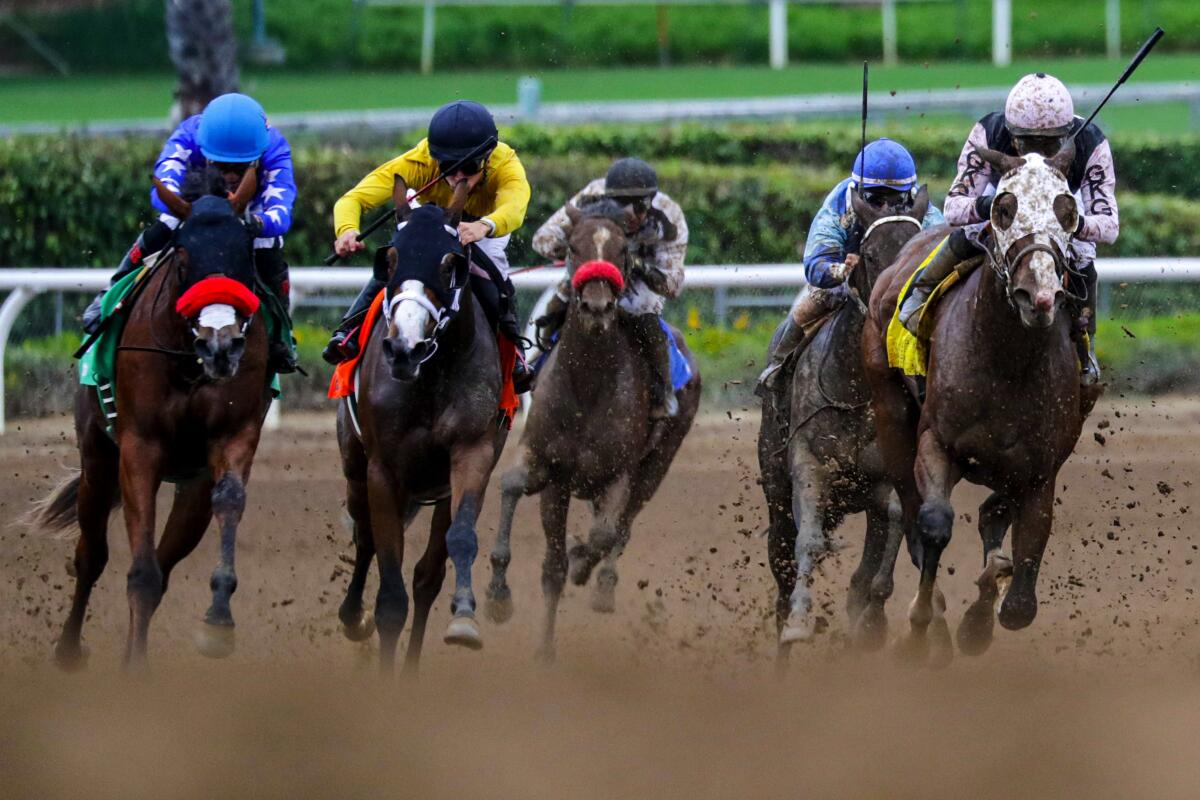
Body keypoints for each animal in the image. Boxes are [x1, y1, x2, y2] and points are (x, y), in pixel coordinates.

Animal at [27, 164, 272, 671]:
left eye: (244, 256)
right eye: (183, 260)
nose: (221, 347)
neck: (189, 362)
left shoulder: (231, 437)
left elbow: (229, 499)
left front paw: (217, 620)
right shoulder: (139, 447)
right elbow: (137, 570)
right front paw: (135, 670)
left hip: (190, 485)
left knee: (167, 558)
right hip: (98, 460)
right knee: (91, 555)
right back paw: (68, 649)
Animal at [336, 185, 513, 671]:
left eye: (451, 263)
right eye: (390, 259)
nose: (404, 348)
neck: (429, 377)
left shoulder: (471, 454)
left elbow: (453, 546)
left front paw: (464, 619)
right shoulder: (383, 469)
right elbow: (389, 593)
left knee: (425, 574)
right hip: (355, 467)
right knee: (364, 537)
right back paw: (352, 616)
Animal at [868, 145, 1099, 662]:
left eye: (1068, 210)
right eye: (1003, 207)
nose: (1039, 296)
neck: (1006, 360)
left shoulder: (1038, 471)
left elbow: (1018, 603)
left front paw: (979, 617)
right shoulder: (936, 441)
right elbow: (934, 523)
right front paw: (921, 626)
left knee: (993, 513)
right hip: (891, 412)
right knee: (910, 510)